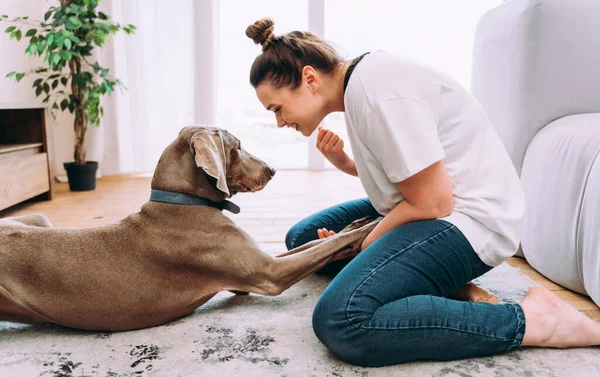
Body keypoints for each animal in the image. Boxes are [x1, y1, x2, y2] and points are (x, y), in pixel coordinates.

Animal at [0, 125, 380, 328]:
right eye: (237, 146)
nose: (273, 170)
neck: (183, 203)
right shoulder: (268, 274)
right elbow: (321, 247)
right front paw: (372, 224)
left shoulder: (259, 262)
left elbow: (317, 244)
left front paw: (356, 222)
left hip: (40, 219)